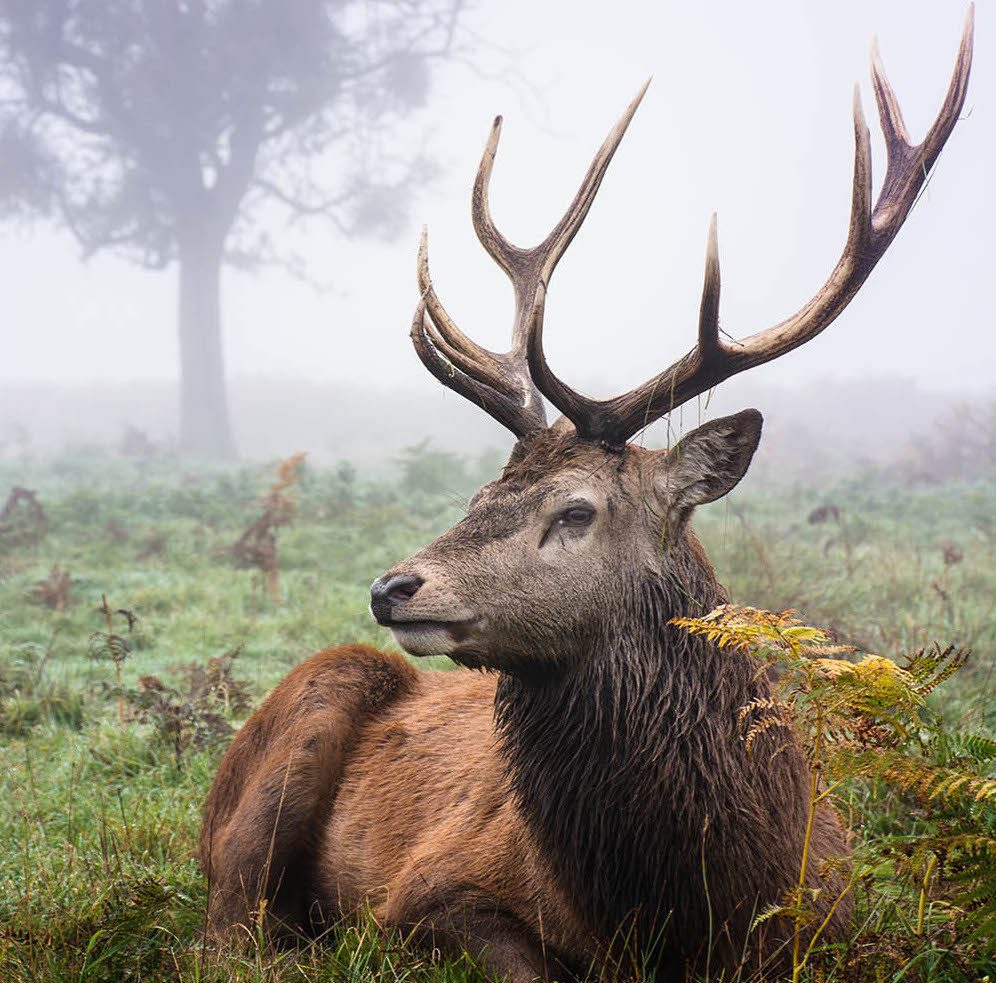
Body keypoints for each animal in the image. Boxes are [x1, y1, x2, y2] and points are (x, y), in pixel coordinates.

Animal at [200, 15, 972, 983]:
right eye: (479, 492)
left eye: (574, 510)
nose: (392, 587)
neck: (696, 909)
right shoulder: (424, 893)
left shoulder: (840, 920)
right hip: (300, 721)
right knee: (228, 927)